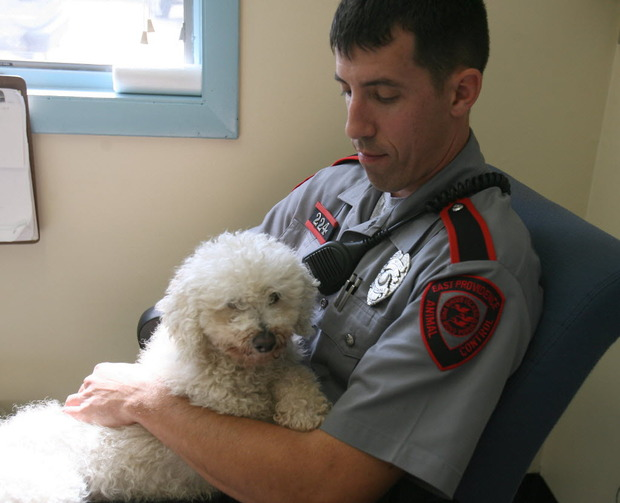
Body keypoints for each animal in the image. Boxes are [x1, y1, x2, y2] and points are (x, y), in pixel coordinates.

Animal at [0, 232, 330, 503]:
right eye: (232, 304)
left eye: (275, 297)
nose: (265, 341)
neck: (233, 363)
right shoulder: (233, 404)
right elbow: (272, 391)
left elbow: (294, 372)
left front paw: (303, 409)